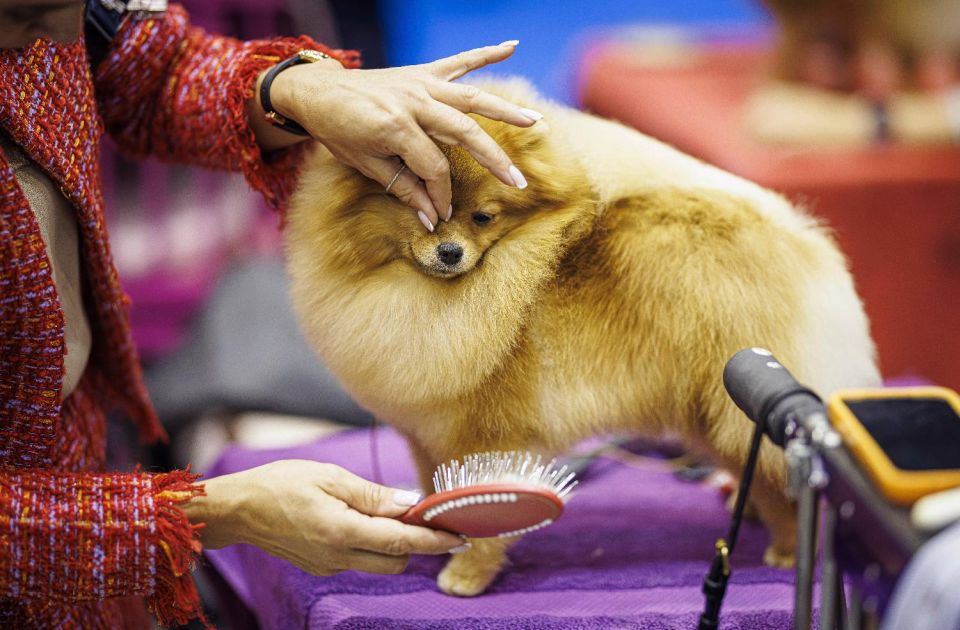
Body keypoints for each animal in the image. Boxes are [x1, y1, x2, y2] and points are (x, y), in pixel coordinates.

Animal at [284, 79, 876, 596]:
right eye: (428, 214)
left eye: (483, 217)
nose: (451, 253)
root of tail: (796, 240)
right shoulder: (426, 433)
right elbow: (438, 492)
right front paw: (434, 537)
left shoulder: (488, 432)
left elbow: (486, 513)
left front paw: (468, 574)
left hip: (736, 402)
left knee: (779, 484)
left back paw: (785, 549)